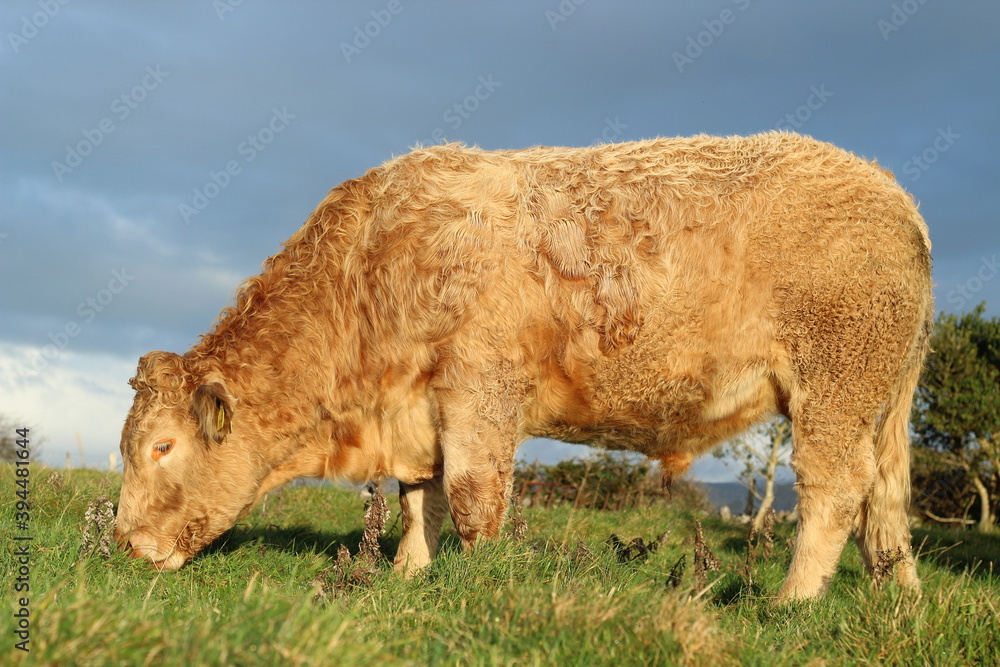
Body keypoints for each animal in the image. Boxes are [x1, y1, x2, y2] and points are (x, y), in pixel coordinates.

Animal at [115, 132, 932, 599]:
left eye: (163, 446)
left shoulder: (480, 392)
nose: (120, 543)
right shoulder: (421, 409)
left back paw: (793, 601)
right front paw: (409, 574)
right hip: (878, 399)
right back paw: (896, 597)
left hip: (835, 381)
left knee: (835, 489)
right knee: (887, 500)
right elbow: (420, 497)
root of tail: (891, 188)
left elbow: (473, 500)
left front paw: (475, 583)